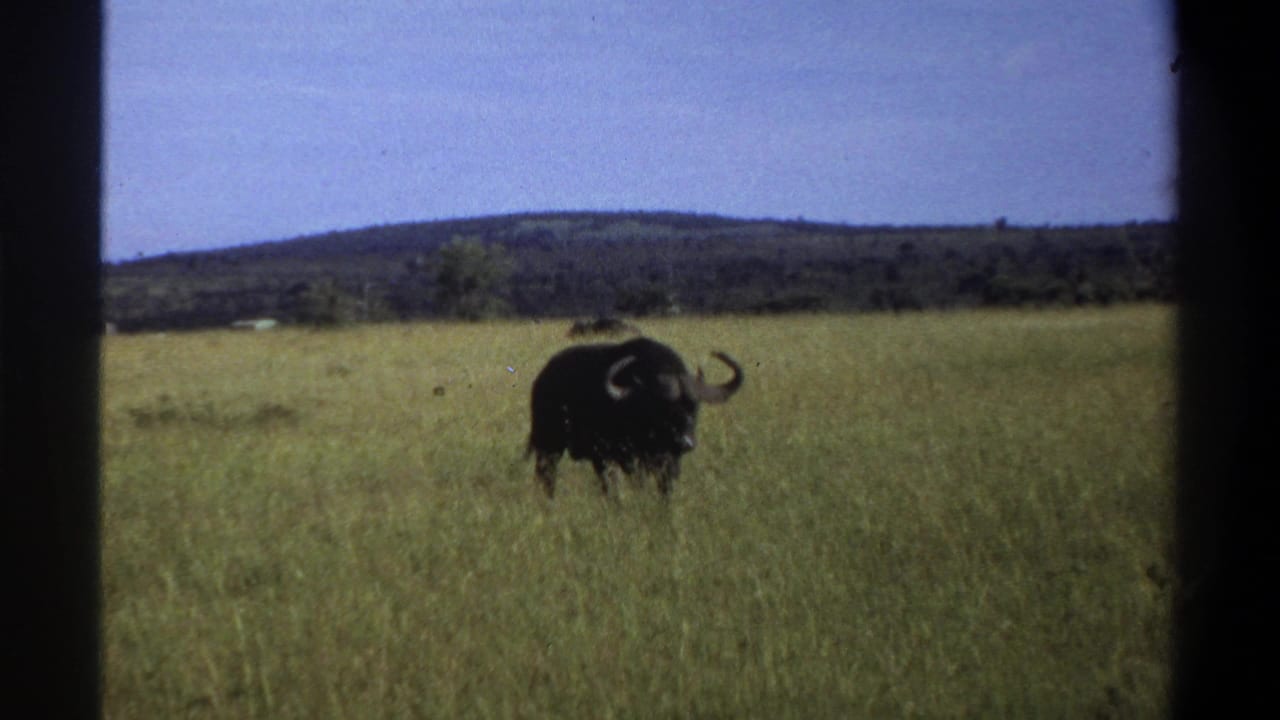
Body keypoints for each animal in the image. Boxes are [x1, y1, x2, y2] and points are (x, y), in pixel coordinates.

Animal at [526, 337, 743, 498]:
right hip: (549, 445)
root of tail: (542, 379)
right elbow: (638, 484)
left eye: (694, 408)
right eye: (663, 408)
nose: (685, 442)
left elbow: (665, 489)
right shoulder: (626, 458)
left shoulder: (670, 462)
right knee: (547, 476)